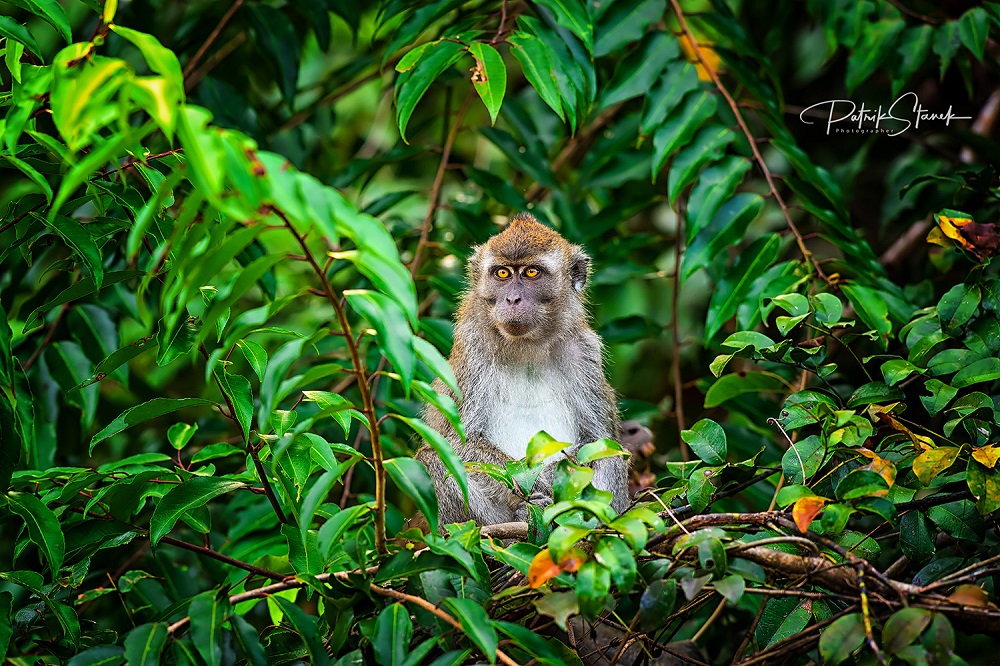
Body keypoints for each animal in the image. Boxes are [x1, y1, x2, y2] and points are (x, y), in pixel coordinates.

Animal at [418, 213, 628, 524]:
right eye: (503, 274)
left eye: (531, 273)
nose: (512, 299)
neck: (526, 346)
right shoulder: (472, 348)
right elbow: (459, 441)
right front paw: (539, 481)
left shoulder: (585, 352)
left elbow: (600, 439)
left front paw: (551, 477)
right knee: (433, 457)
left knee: (609, 455)